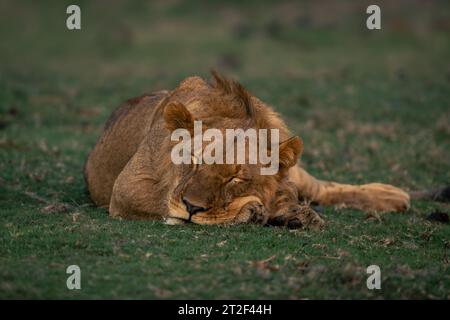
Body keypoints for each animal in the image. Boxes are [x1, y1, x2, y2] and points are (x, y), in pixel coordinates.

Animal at [84, 72, 414, 230]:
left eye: (235, 178)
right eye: (192, 161)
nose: (192, 207)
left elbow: (286, 194)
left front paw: (294, 213)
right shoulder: (126, 187)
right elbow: (164, 201)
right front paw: (254, 211)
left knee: (319, 187)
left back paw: (392, 196)